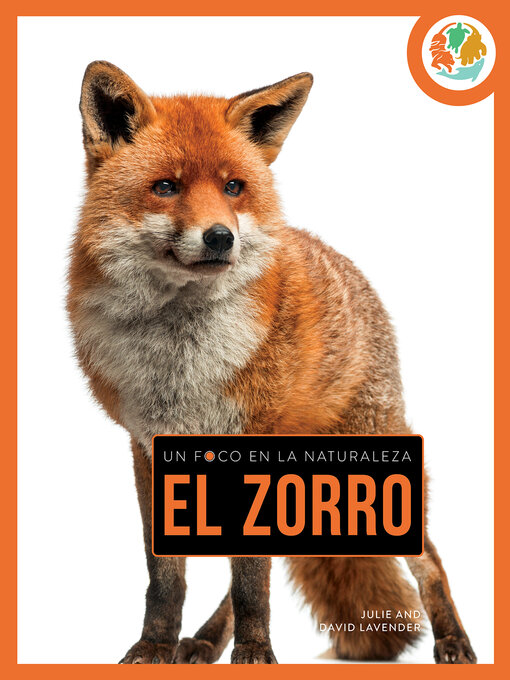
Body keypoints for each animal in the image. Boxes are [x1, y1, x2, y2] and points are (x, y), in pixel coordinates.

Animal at [67, 60, 476, 665]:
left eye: (233, 187)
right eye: (166, 187)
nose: (220, 237)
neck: (180, 361)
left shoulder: (250, 438)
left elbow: (251, 578)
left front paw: (256, 654)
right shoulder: (147, 447)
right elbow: (166, 578)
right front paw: (154, 647)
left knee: (431, 563)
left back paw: (454, 640)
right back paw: (204, 641)